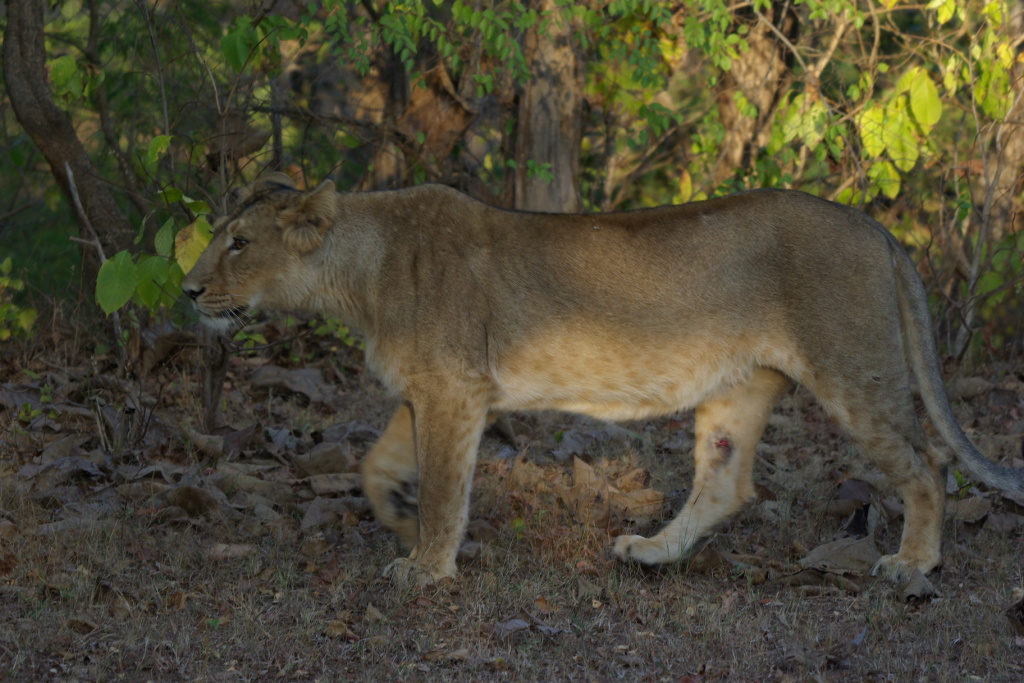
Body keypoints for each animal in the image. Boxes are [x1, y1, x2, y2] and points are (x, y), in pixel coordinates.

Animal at [183, 173, 1024, 587]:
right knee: (726, 482)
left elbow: (449, 486)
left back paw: (914, 564)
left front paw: (426, 567)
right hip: (740, 385)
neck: (360, 274)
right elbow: (376, 462)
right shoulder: (431, 386)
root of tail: (877, 228)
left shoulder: (456, 387)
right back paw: (651, 551)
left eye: (239, 242)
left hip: (853, 368)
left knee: (928, 463)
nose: (187, 290)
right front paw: (396, 515)